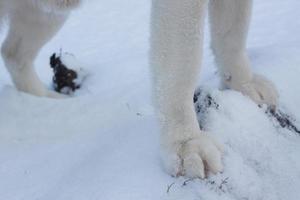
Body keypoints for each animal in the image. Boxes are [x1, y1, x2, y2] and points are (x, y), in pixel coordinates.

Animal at [0, 0, 278, 178]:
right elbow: (183, 61)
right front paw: (186, 143)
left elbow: (233, 30)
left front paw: (242, 84)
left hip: (44, 12)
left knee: (14, 54)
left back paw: (46, 101)